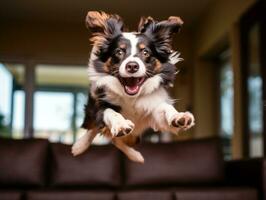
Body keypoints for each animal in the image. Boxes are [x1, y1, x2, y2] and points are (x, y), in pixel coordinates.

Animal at [71, 11, 194, 162]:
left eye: (145, 52)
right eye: (119, 52)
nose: (132, 66)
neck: (132, 98)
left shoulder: (153, 110)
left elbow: (166, 108)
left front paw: (179, 117)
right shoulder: (102, 105)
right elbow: (109, 113)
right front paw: (120, 124)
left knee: (116, 140)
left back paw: (135, 156)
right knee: (97, 129)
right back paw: (80, 146)